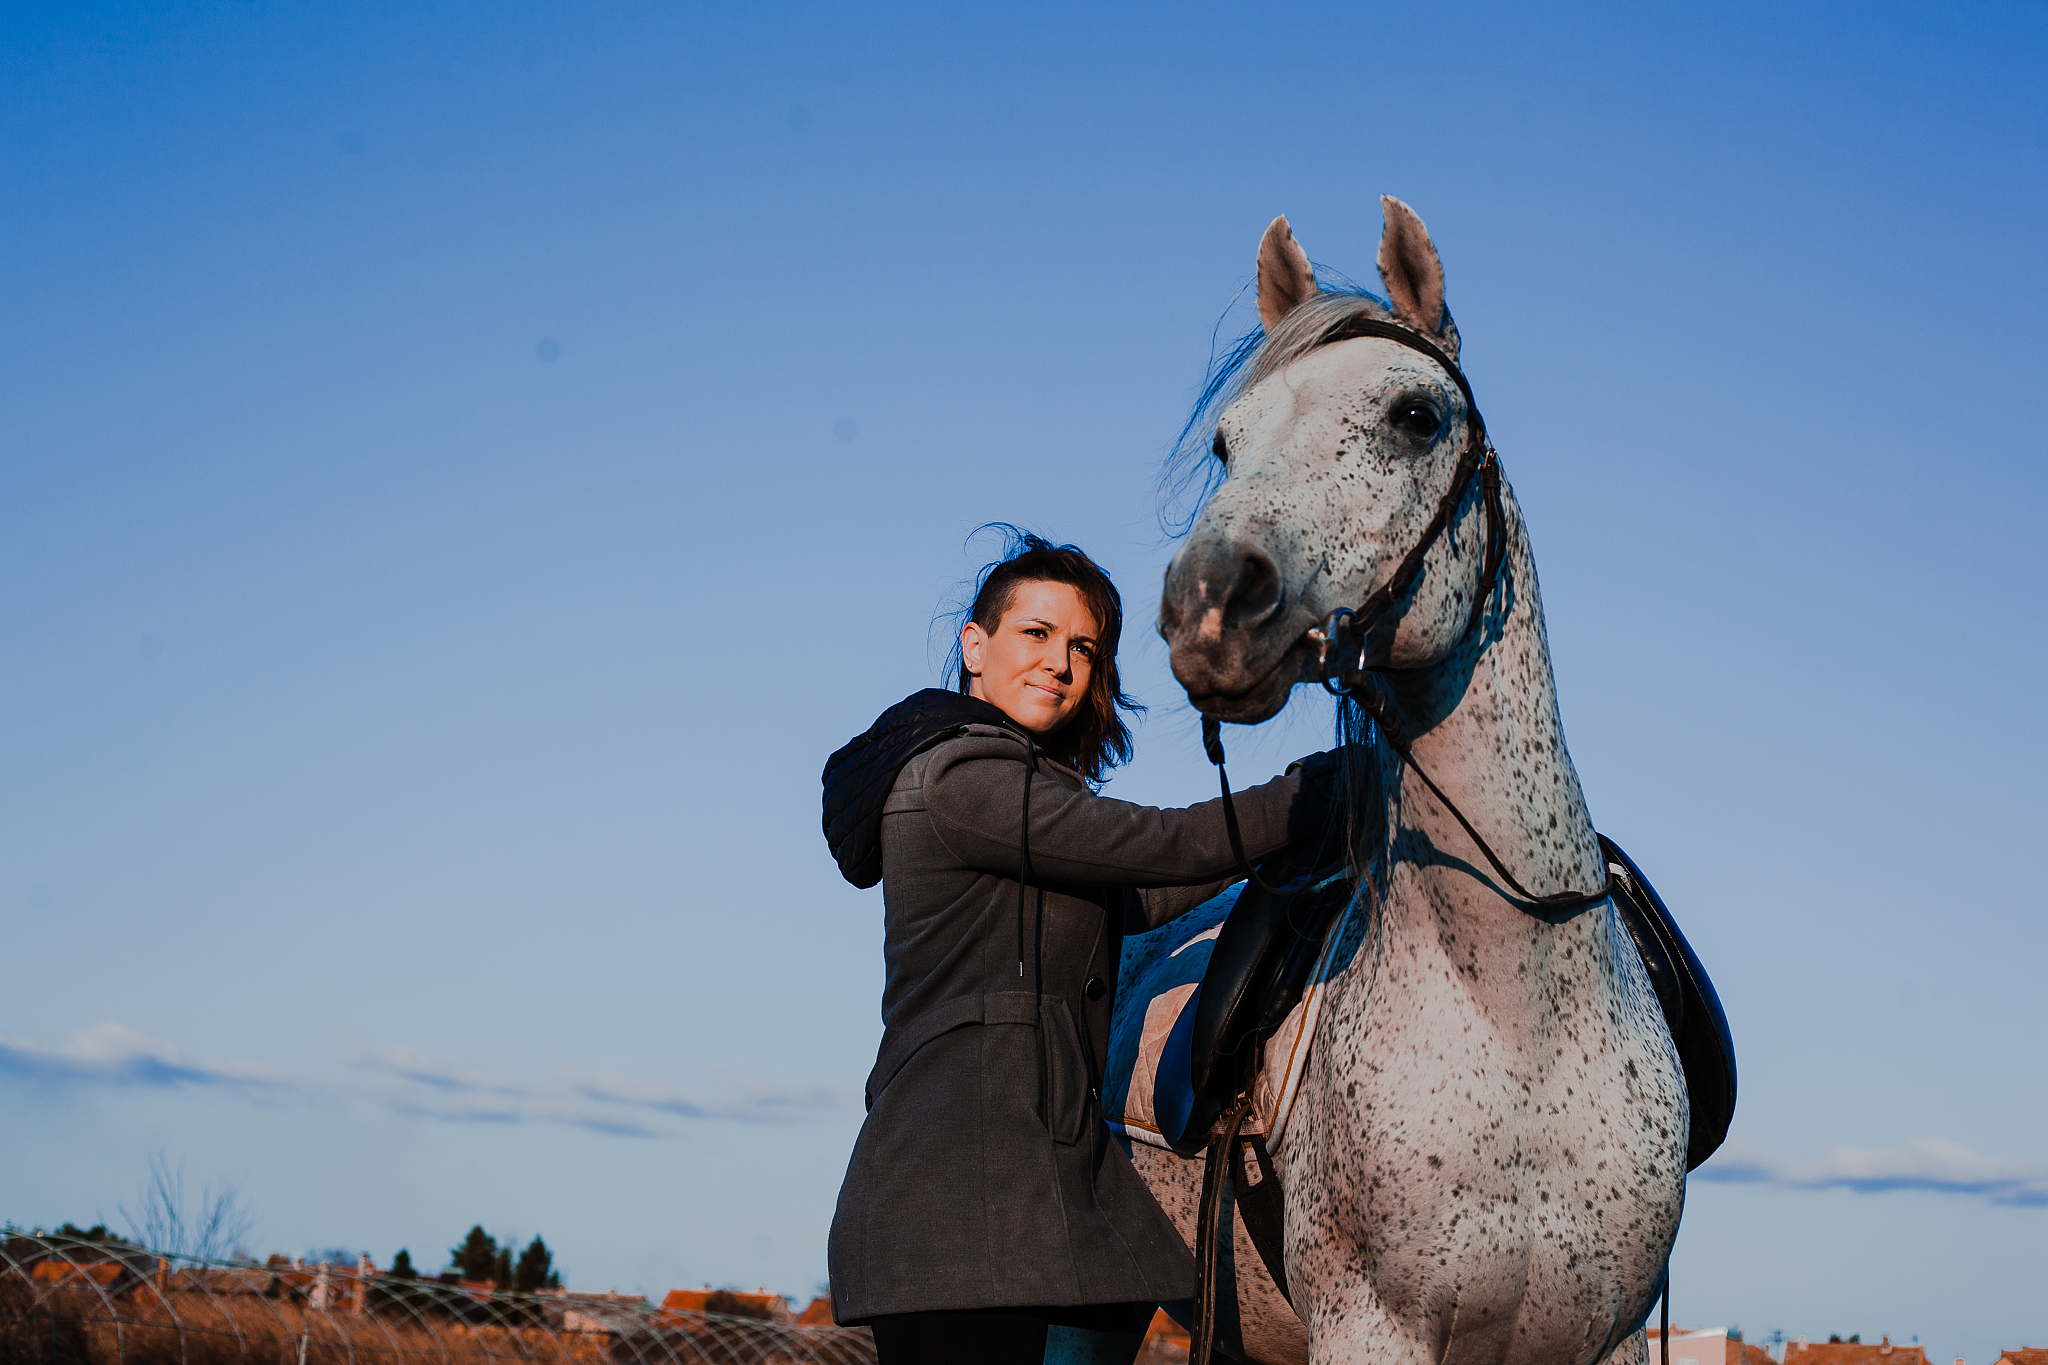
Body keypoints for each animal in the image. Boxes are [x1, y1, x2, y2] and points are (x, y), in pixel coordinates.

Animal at [1123, 197, 1687, 1365]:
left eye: (1417, 415)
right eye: (1225, 440)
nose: (1206, 602)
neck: (1520, 1021)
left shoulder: (1606, 1338)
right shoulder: (1369, 1330)